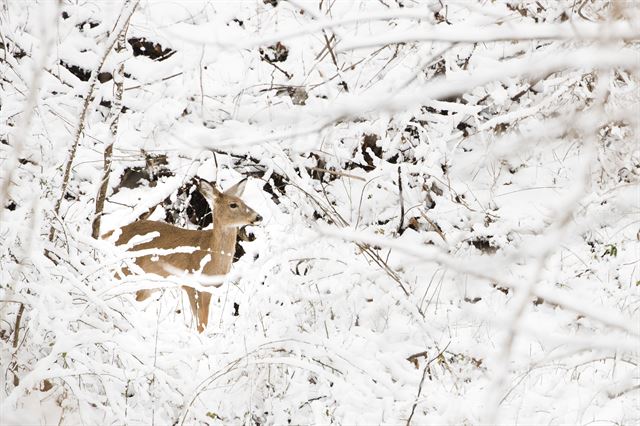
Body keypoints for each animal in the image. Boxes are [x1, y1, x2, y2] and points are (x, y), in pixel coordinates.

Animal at [106, 179, 262, 332]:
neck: (212, 254)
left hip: (148, 284)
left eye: (244, 202)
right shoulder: (191, 283)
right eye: (233, 204)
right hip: (126, 271)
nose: (258, 216)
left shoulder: (209, 287)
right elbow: (201, 323)